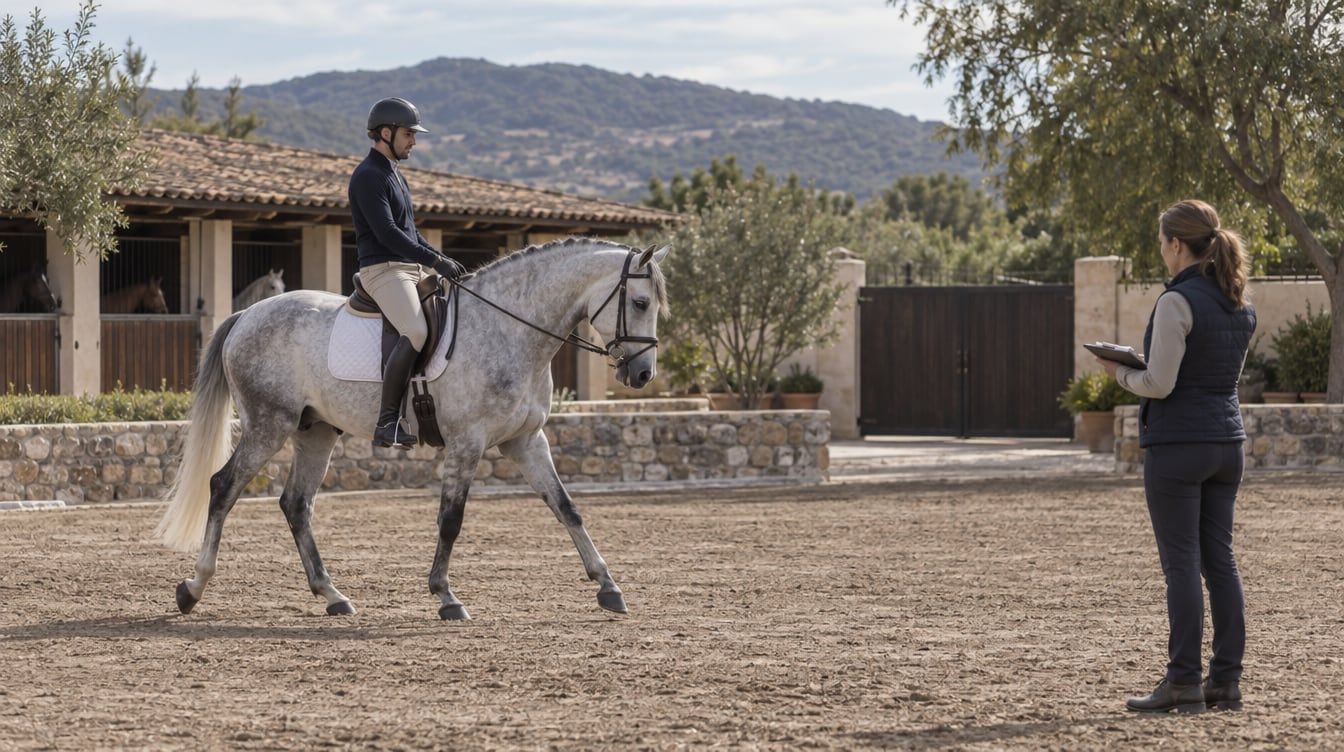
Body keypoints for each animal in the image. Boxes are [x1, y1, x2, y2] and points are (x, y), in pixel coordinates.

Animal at [156, 238, 670, 620]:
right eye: (640, 302)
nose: (643, 375)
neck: (509, 330)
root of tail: (248, 314)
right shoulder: (467, 442)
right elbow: (451, 519)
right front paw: (446, 596)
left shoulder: (526, 441)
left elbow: (568, 509)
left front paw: (608, 586)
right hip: (268, 425)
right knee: (223, 487)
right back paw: (192, 588)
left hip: (314, 431)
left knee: (296, 504)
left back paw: (333, 595)